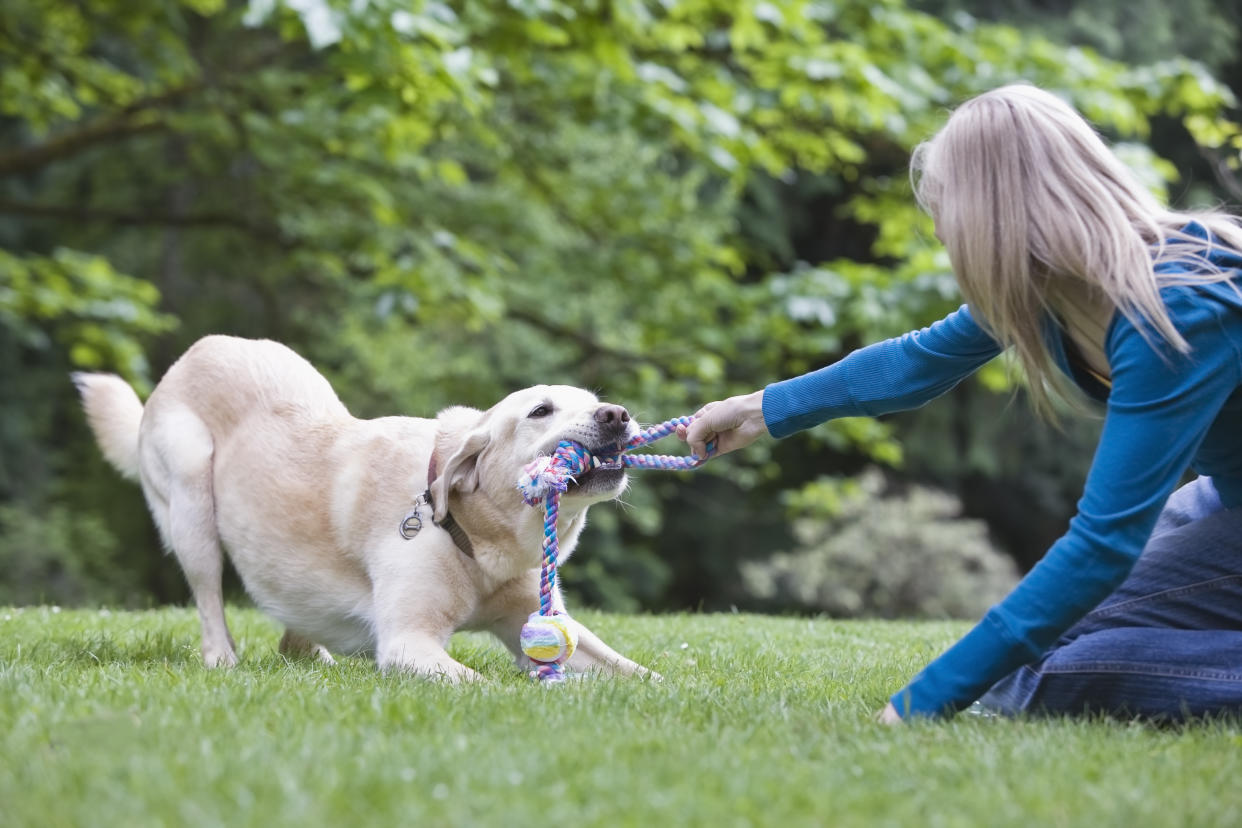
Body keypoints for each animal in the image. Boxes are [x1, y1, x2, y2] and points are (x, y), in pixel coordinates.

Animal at [72, 335, 655, 680]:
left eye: (593, 401)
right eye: (540, 411)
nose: (617, 414)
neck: (475, 538)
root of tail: (194, 352)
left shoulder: (545, 622)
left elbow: (636, 672)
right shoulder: (407, 642)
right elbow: (482, 683)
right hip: (192, 502)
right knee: (210, 598)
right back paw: (223, 660)